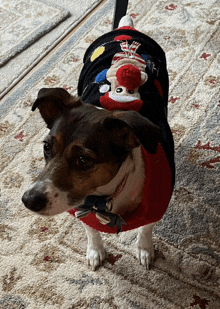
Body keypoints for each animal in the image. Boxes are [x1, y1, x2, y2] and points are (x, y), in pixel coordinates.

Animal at [21, 16, 174, 270]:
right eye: (46, 147)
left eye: (83, 160)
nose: (29, 200)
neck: (103, 199)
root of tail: (126, 28)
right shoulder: (80, 207)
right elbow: (90, 230)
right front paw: (95, 251)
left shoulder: (154, 207)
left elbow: (146, 229)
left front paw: (144, 249)